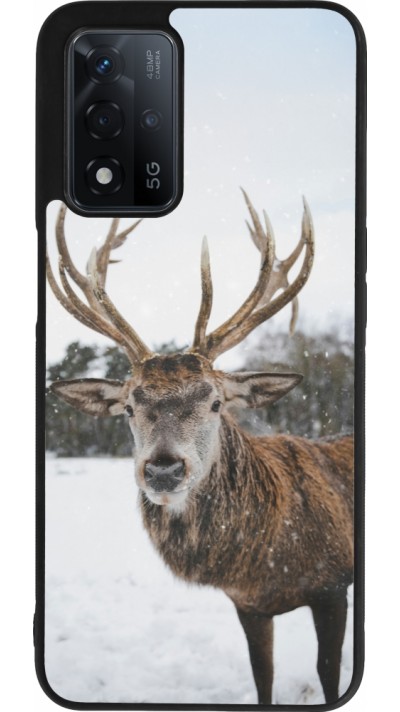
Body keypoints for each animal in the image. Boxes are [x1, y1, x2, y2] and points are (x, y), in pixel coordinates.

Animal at [47, 191, 354, 705]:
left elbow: (329, 675)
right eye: (128, 406)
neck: (266, 561)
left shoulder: (333, 586)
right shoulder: (249, 605)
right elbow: (263, 676)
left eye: (214, 402)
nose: (163, 470)